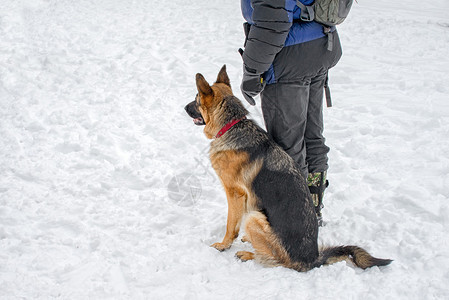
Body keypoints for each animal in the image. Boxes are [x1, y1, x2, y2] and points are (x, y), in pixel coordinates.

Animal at [184, 65, 390, 272]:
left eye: (196, 99)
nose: (184, 107)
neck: (231, 126)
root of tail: (312, 259)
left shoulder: (234, 194)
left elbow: (231, 225)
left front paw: (224, 244)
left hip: (254, 218)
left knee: (276, 261)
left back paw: (248, 254)